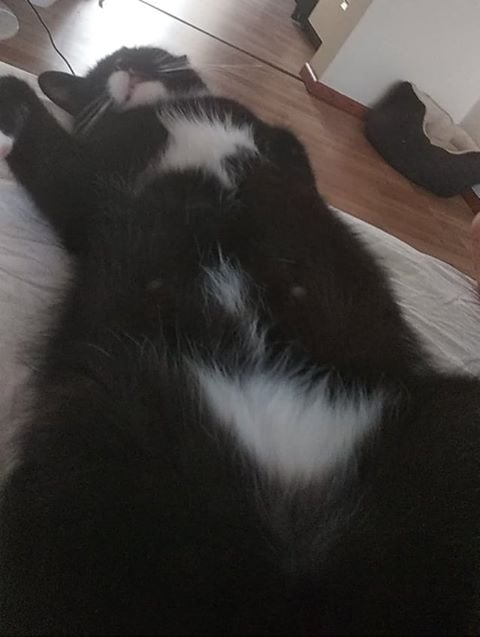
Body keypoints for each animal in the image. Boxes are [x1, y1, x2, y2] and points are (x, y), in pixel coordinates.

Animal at [0, 47, 479, 635]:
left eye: (142, 54)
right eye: (98, 78)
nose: (129, 69)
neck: (170, 115)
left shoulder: (272, 141)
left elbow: (295, 154)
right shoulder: (91, 188)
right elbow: (53, 158)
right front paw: (12, 98)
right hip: (89, 441)